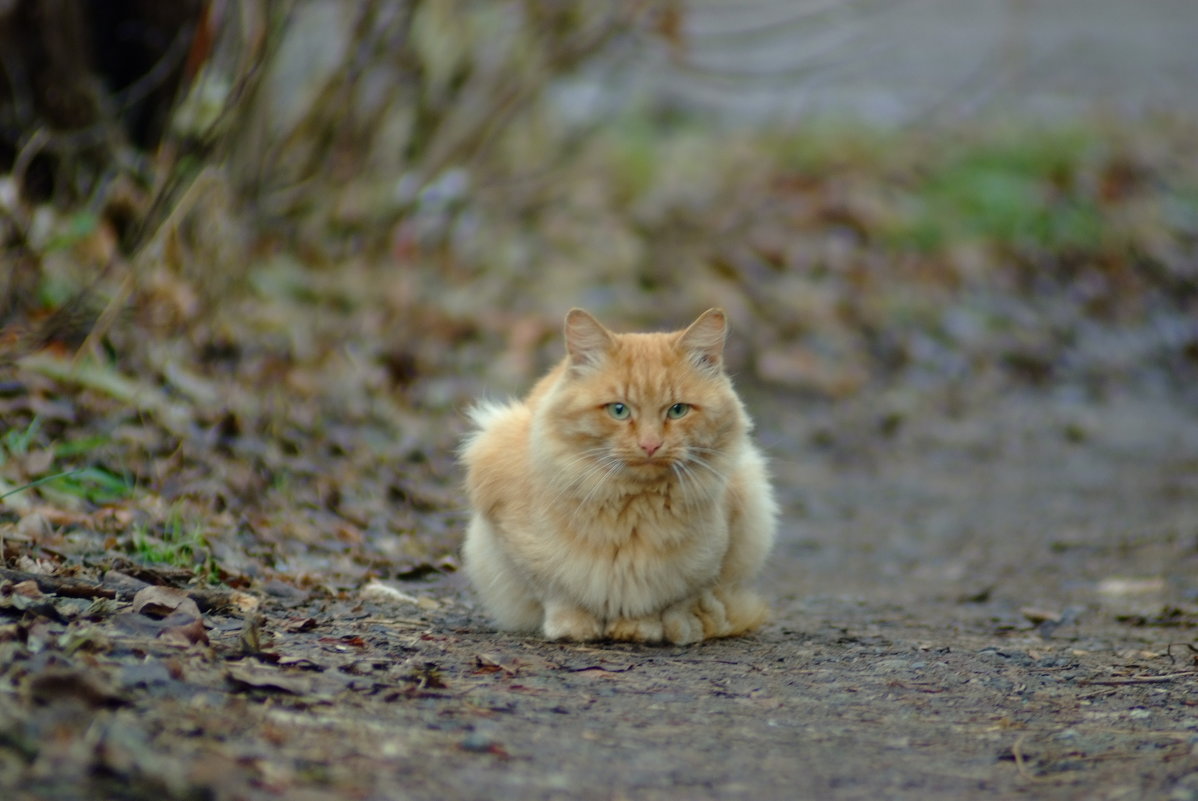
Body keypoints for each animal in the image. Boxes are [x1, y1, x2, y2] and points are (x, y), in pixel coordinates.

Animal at [457, 306, 776, 641]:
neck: (632, 509)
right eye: (619, 410)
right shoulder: (520, 548)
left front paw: (638, 628)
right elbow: (557, 593)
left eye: (677, 410)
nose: (650, 444)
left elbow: (659, 604)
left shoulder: (699, 567)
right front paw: (573, 627)